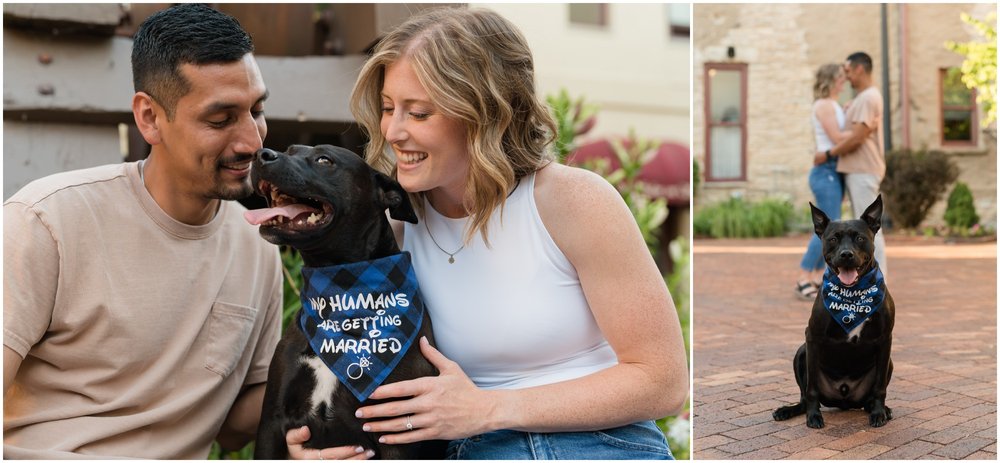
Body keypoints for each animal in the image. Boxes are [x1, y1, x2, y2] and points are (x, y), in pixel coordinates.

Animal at [776, 196, 896, 428]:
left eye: (860, 238)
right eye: (832, 239)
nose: (846, 254)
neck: (853, 299)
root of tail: (844, 400)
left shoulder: (885, 339)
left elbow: (880, 388)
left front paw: (879, 412)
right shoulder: (812, 338)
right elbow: (811, 389)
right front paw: (814, 416)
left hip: (888, 364)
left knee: (869, 398)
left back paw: (879, 409)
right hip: (801, 352)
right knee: (803, 397)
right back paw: (788, 410)